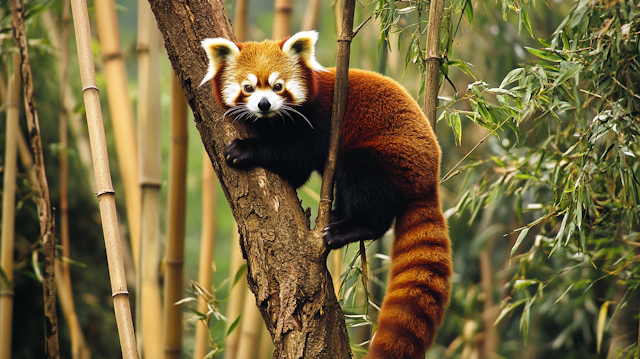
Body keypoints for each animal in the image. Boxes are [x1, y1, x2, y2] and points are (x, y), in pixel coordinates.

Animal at [202, 31, 452, 359]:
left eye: (278, 86)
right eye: (248, 88)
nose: (264, 104)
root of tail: (429, 179)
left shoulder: (321, 120)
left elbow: (296, 155)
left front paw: (244, 150)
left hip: (385, 157)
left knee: (364, 187)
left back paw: (347, 228)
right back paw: (337, 216)